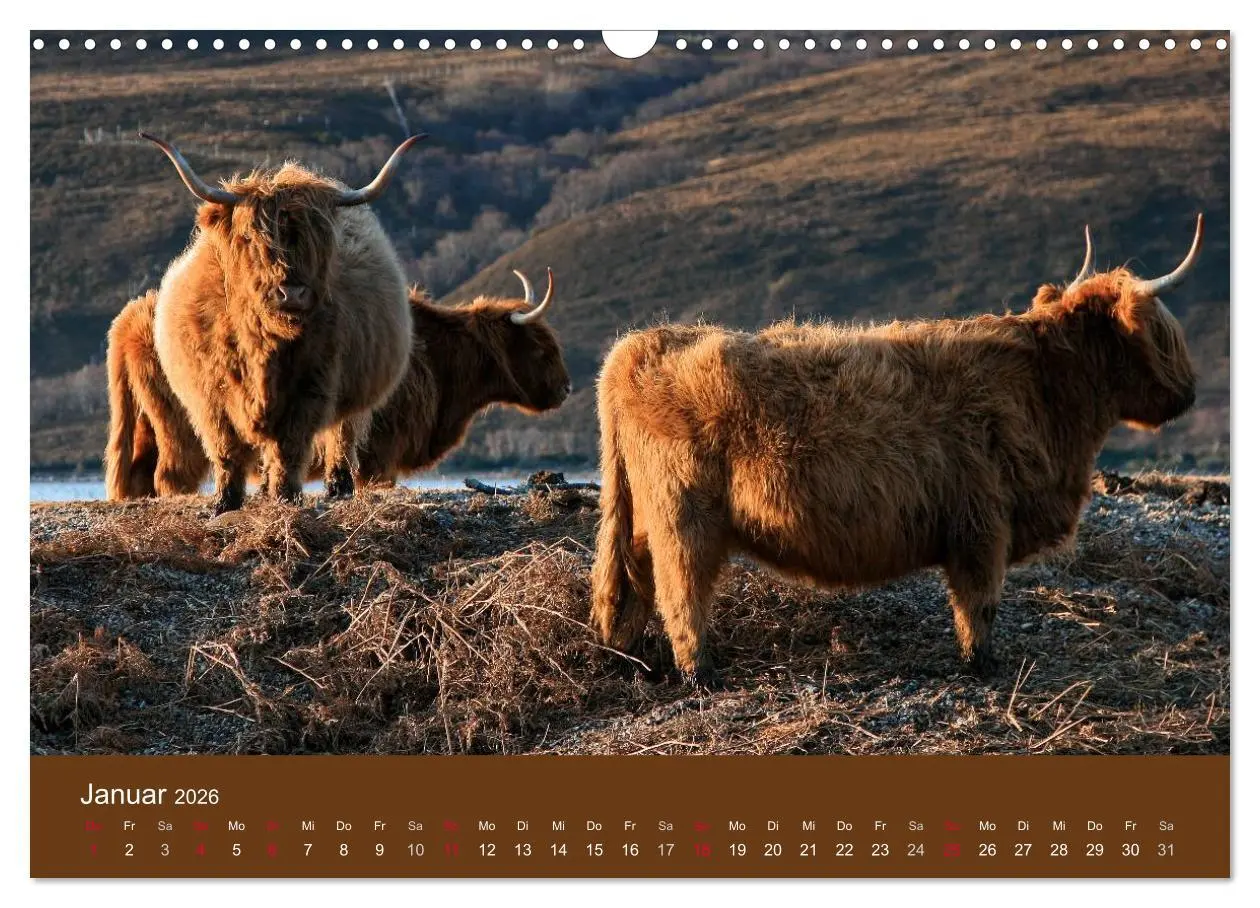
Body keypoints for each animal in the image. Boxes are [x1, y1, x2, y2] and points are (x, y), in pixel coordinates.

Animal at [104, 269, 570, 497]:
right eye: (542, 349)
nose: (566, 389)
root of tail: (129, 318)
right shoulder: (381, 455)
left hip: (148, 423)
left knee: (140, 474)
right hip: (185, 429)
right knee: (170, 476)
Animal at [141, 132, 422, 513]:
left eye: (320, 241)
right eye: (251, 238)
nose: (293, 293)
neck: (265, 344)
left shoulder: (312, 387)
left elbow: (290, 447)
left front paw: (287, 495)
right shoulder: (210, 395)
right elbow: (227, 448)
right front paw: (225, 501)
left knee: (342, 435)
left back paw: (338, 486)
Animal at [590, 216, 1203, 689]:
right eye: (1163, 330)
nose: (1191, 393)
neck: (1047, 389)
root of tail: (641, 344)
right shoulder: (983, 523)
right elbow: (979, 603)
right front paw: (981, 663)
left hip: (646, 514)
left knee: (634, 577)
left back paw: (632, 657)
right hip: (683, 515)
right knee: (681, 591)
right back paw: (700, 672)